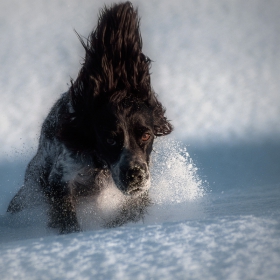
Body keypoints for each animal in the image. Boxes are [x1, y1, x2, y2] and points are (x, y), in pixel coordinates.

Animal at [6, 1, 172, 234]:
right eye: (110, 139)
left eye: (146, 135)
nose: (135, 175)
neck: (100, 165)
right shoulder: (60, 178)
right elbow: (66, 216)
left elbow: (132, 209)